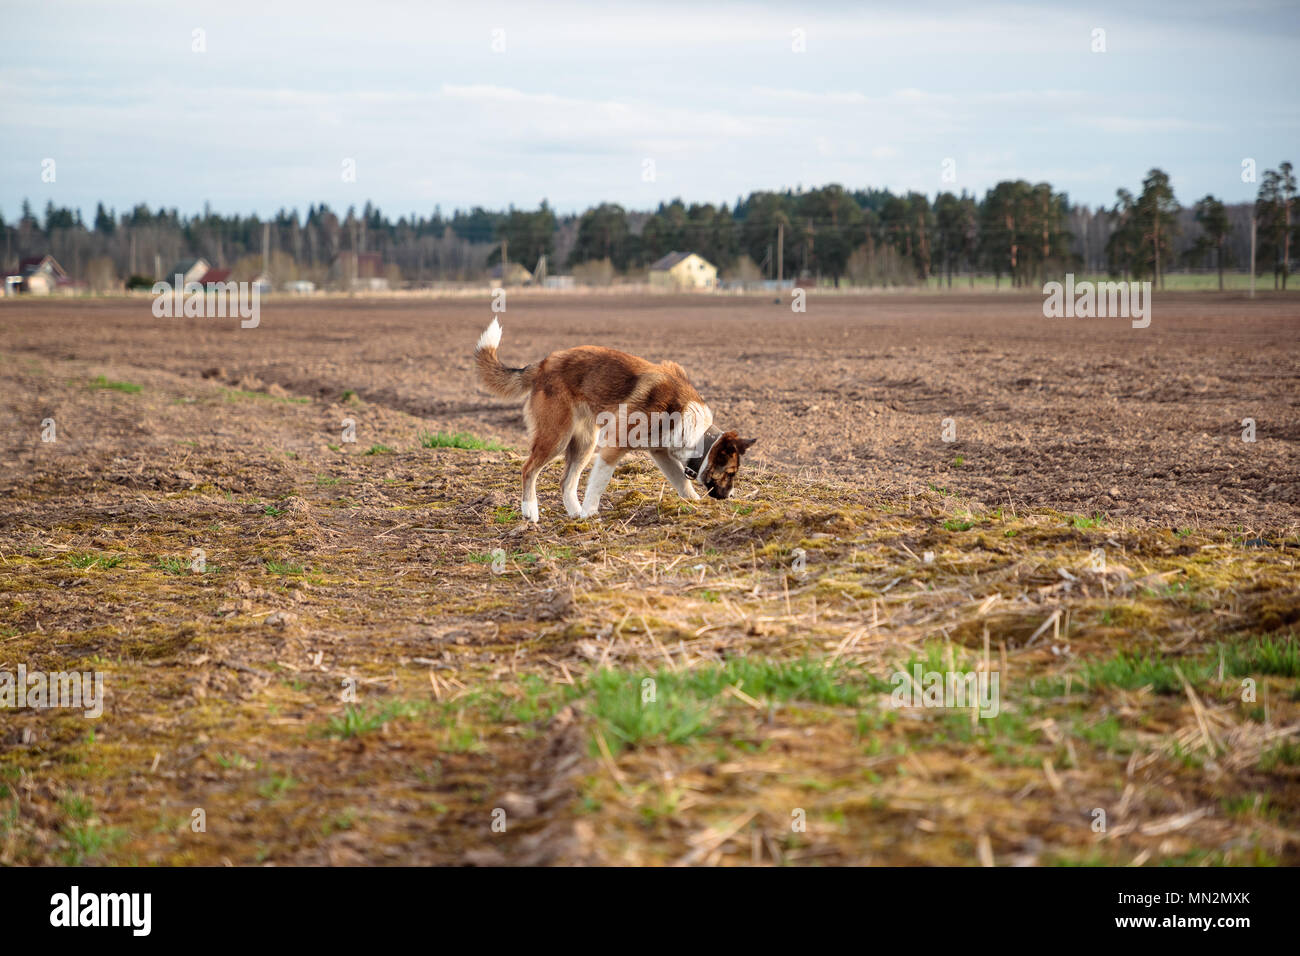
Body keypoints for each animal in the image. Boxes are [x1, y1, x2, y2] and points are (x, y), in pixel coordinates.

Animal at [473, 316, 759, 522]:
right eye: (730, 473)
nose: (730, 496)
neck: (691, 423)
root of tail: (542, 364)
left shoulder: (660, 451)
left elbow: (681, 481)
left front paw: (694, 504)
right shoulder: (615, 446)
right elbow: (599, 483)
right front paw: (590, 512)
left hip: (584, 443)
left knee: (566, 482)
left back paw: (574, 513)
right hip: (557, 437)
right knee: (528, 469)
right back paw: (531, 511)